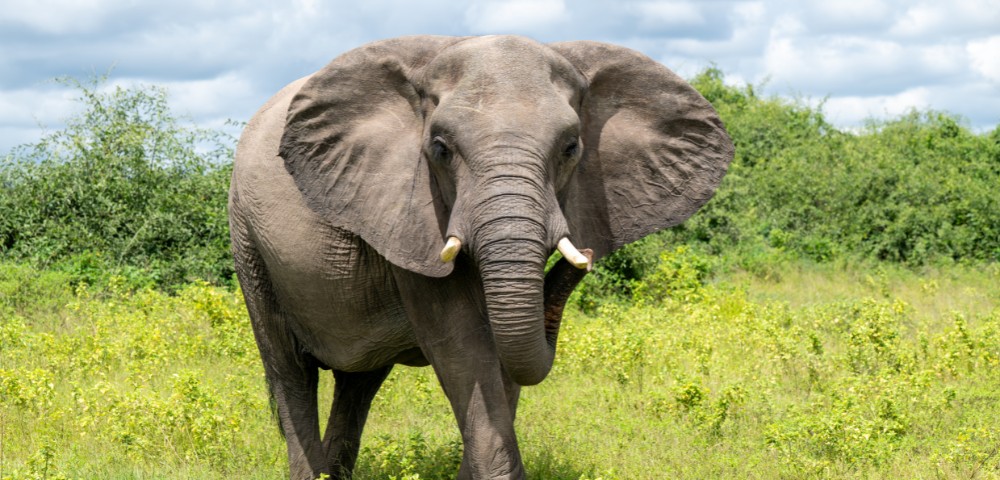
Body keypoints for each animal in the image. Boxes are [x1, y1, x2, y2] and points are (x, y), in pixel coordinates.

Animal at [229, 35, 733, 479]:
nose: (585, 255)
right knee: (290, 371)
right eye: (439, 149)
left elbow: (500, 357)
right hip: (249, 240)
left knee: (359, 380)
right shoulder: (413, 213)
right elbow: (463, 344)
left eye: (571, 148)